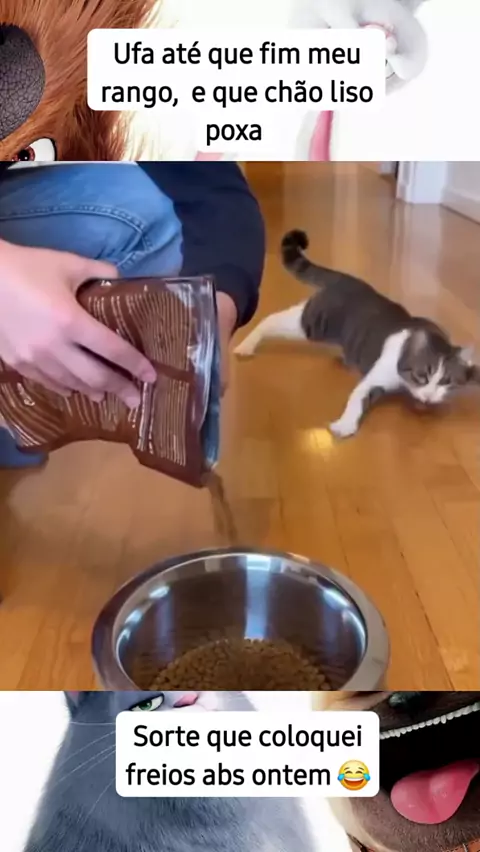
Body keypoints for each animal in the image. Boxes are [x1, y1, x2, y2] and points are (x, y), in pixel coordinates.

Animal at [234, 229, 480, 438]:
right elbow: (357, 397)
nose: (428, 398)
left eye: (446, 381)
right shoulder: (378, 374)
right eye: (422, 376)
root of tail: (343, 278)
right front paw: (344, 425)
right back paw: (246, 345)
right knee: (271, 319)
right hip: (315, 322)